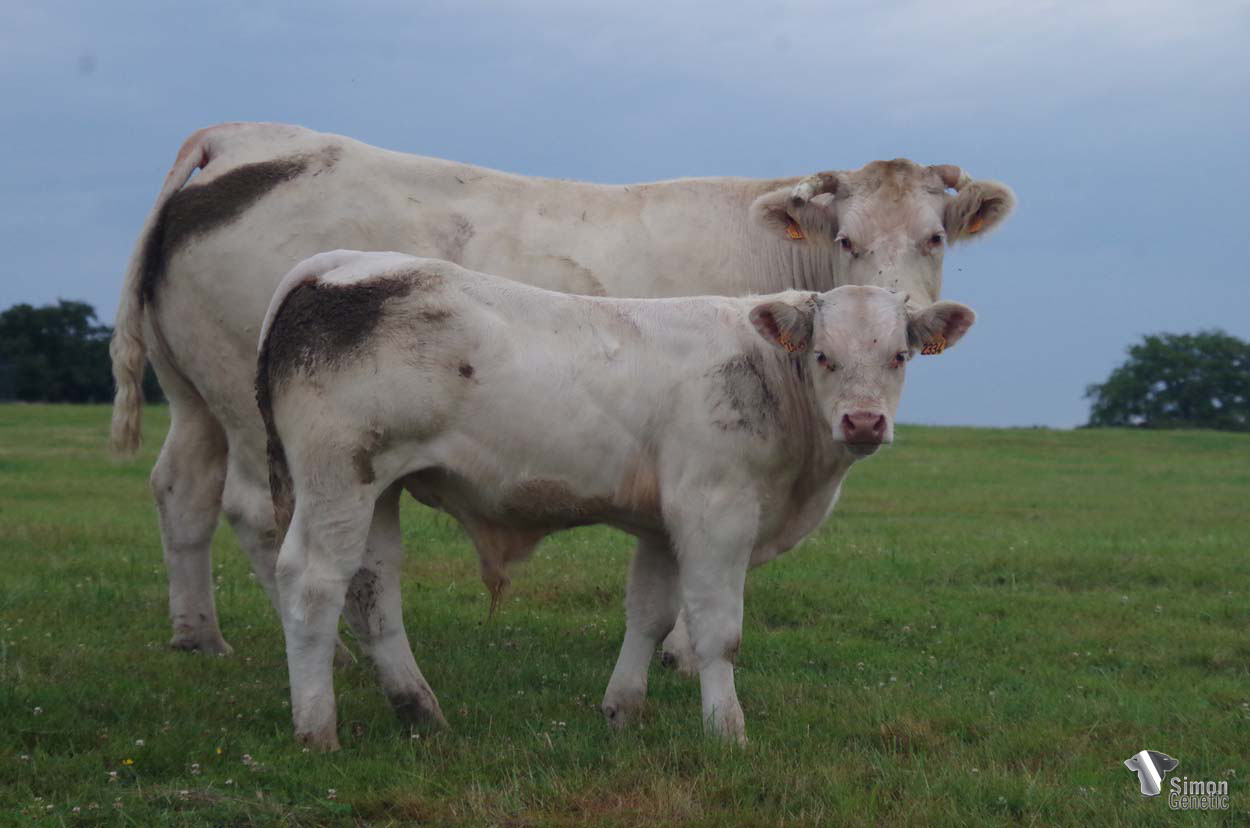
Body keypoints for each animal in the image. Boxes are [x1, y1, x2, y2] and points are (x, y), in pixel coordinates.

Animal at [108, 122, 1014, 659]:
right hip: (252, 407)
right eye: (849, 239)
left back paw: (199, 636)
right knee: (256, 513)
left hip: (195, 392)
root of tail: (243, 142)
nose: (903, 308)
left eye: (934, 236)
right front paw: (682, 652)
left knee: (181, 492)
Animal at [255, 249, 978, 748]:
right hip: (337, 478)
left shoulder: (662, 526)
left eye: (899, 355)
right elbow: (717, 632)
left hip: (378, 489)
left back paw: (420, 712)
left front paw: (622, 710)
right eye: (824, 355)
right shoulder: (715, 512)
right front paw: (727, 731)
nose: (864, 422)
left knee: (372, 592)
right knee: (314, 585)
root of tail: (342, 263)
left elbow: (650, 617)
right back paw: (318, 729)